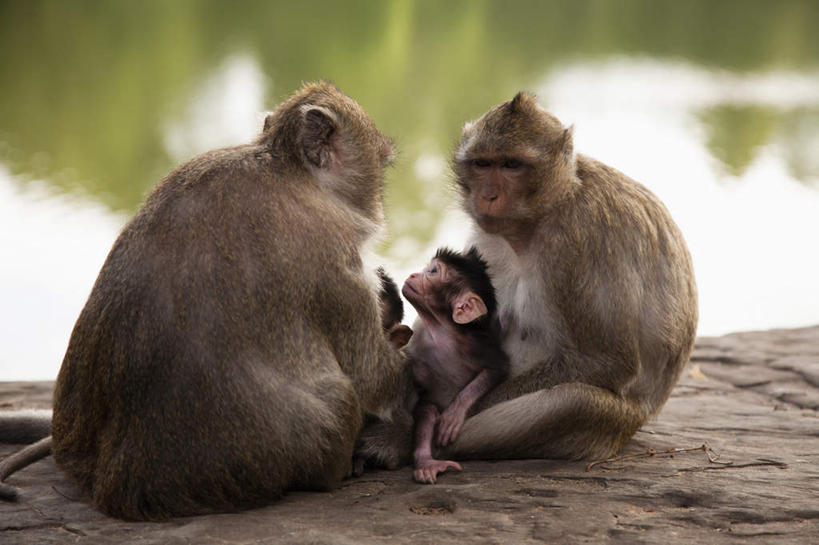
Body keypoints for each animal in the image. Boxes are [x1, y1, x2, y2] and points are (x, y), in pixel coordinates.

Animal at [0, 82, 408, 520]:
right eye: (381, 166)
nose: (378, 209)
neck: (288, 171)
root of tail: (119, 487)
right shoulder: (336, 253)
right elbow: (374, 375)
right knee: (342, 396)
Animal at [402, 244, 510, 482]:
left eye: (432, 271)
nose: (413, 275)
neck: (441, 331)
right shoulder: (417, 343)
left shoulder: (477, 345)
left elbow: (498, 369)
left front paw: (453, 415)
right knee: (427, 412)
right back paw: (426, 463)